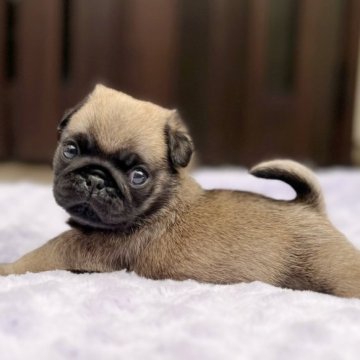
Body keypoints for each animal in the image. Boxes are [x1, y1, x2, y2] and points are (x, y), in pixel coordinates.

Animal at [0, 85, 360, 298]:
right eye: (71, 150)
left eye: (138, 176)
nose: (95, 178)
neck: (161, 200)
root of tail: (312, 209)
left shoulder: (82, 248)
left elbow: (42, 254)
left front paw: (7, 270)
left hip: (334, 275)